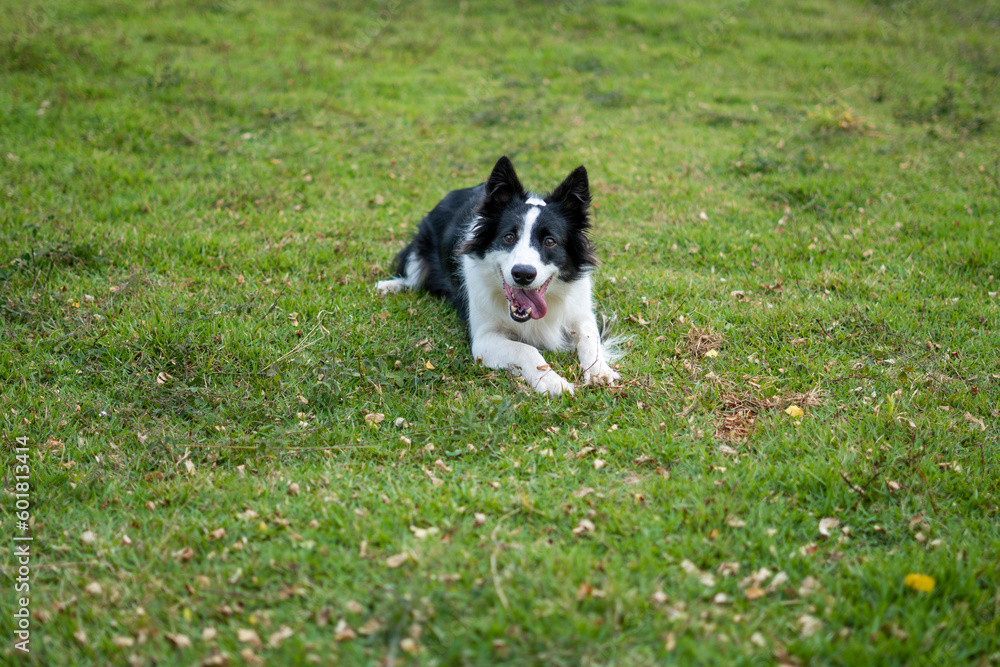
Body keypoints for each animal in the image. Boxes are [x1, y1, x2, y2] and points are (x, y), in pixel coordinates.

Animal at [378, 157, 620, 396]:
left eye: (550, 241)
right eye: (509, 237)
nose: (523, 274)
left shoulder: (581, 311)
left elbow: (589, 337)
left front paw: (600, 371)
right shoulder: (484, 339)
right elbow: (526, 349)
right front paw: (552, 382)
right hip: (419, 251)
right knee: (411, 277)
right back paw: (390, 285)